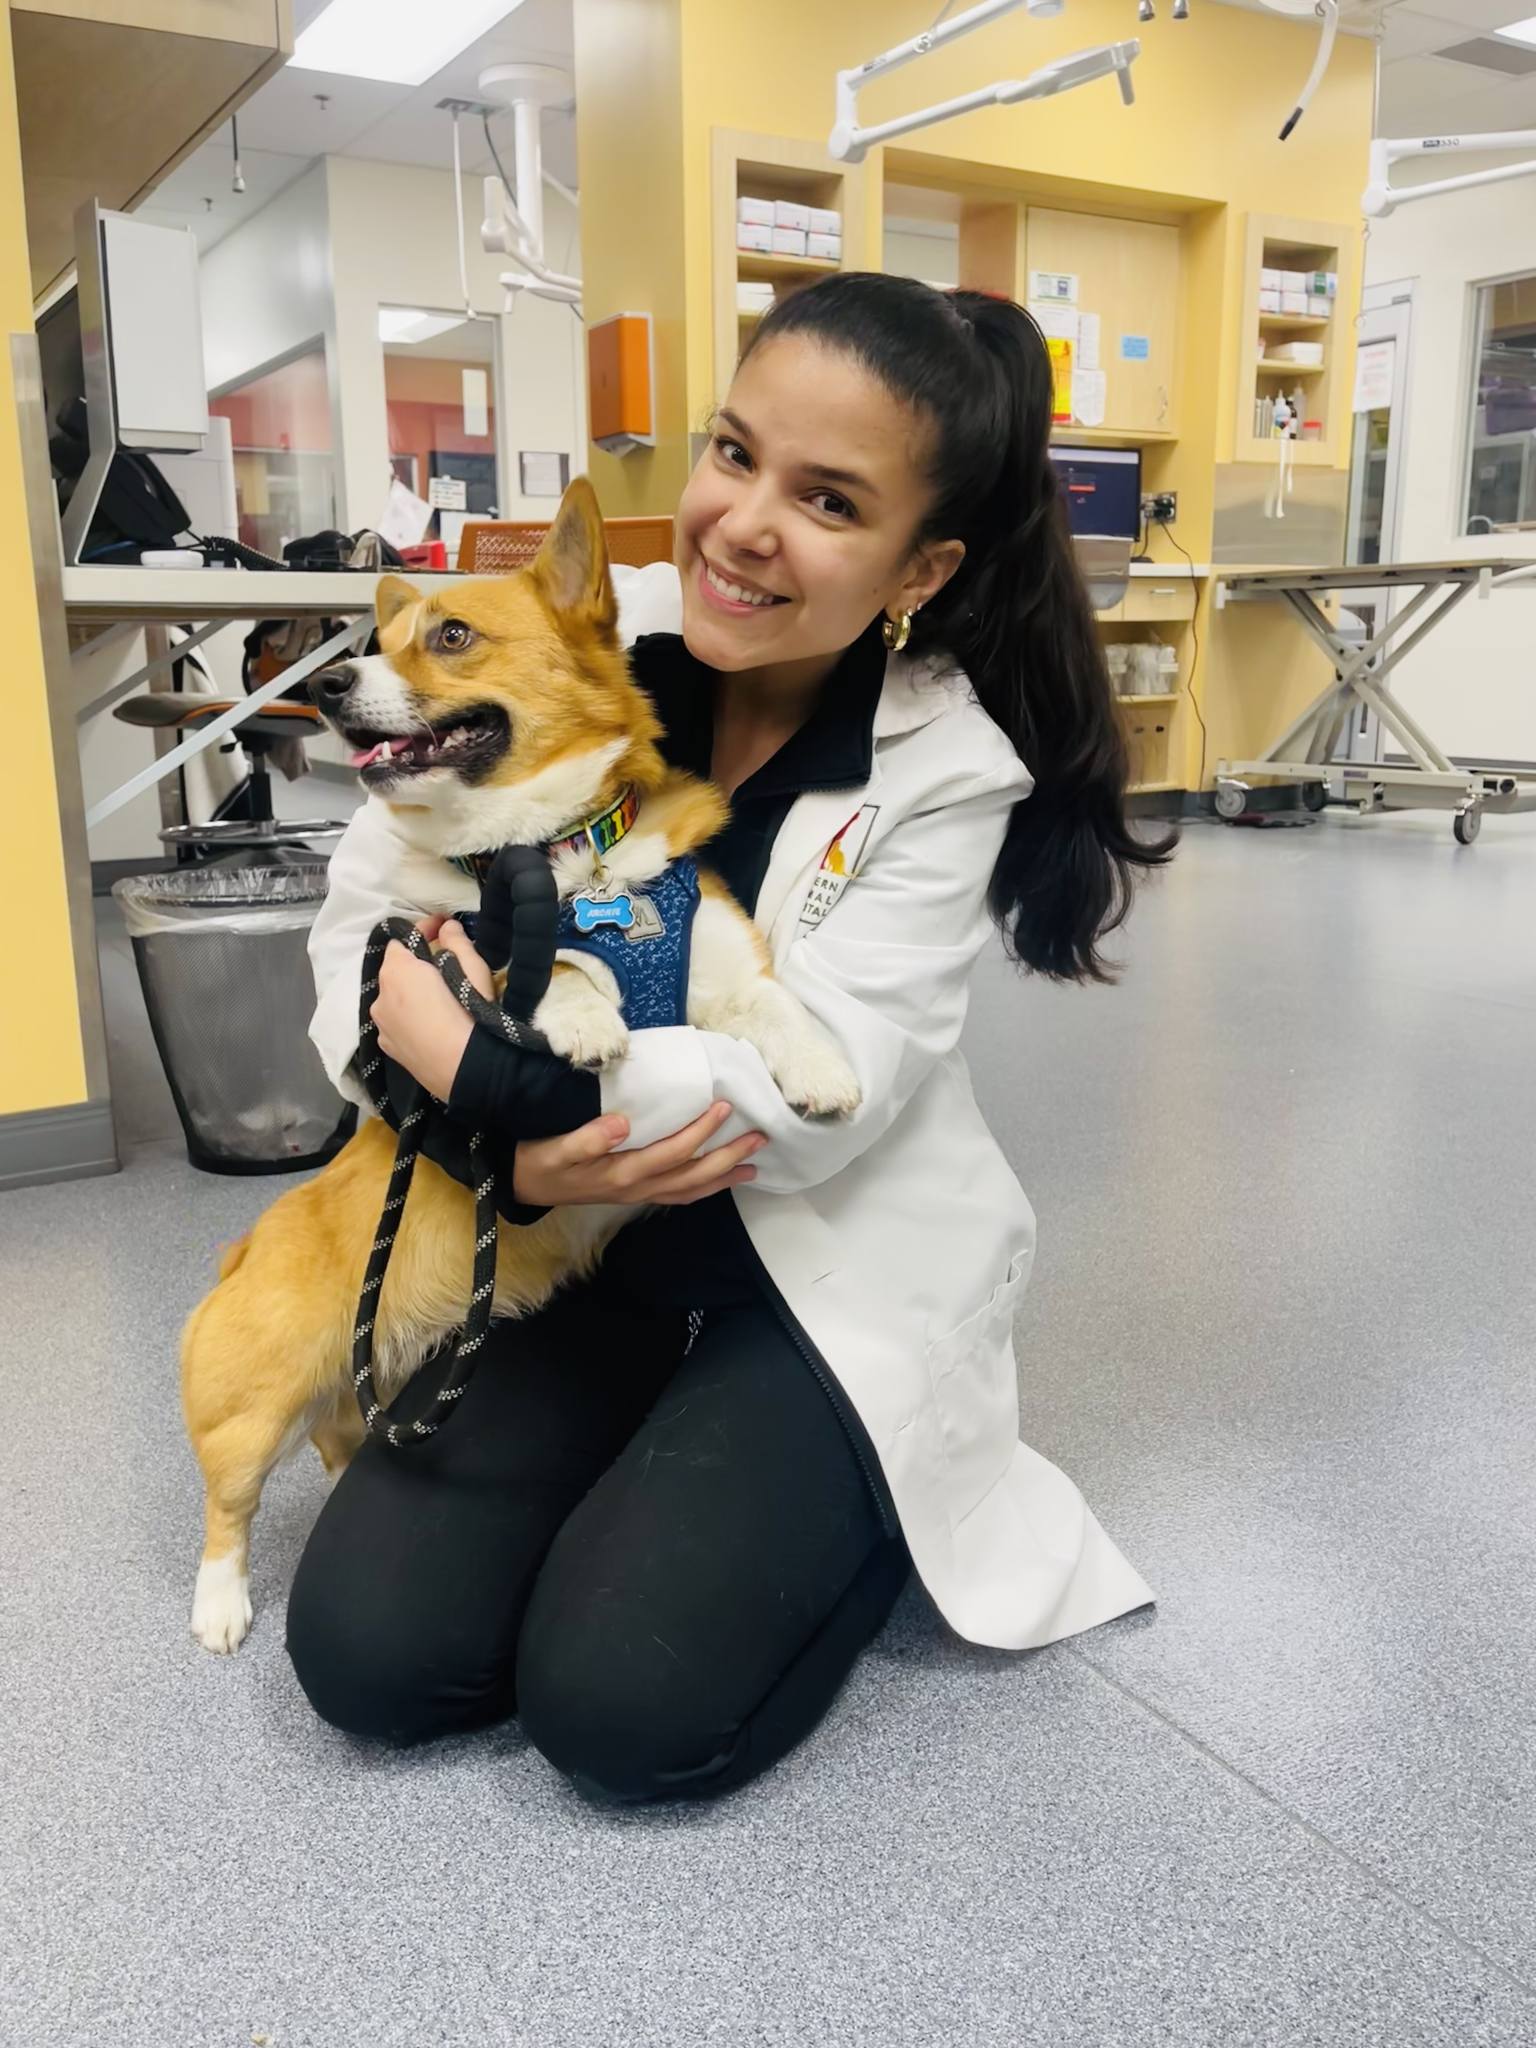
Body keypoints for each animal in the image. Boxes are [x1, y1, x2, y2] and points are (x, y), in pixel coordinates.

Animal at [177, 475, 868, 1646]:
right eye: (377, 641)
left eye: (451, 635)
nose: (327, 686)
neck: (563, 860)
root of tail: (237, 1248)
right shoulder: (455, 946)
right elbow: (543, 966)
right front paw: (586, 1016)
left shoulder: (727, 974)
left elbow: (771, 1008)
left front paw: (821, 1070)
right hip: (255, 1401)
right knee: (229, 1506)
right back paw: (220, 1606)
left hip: (346, 1385)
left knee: (335, 1437)